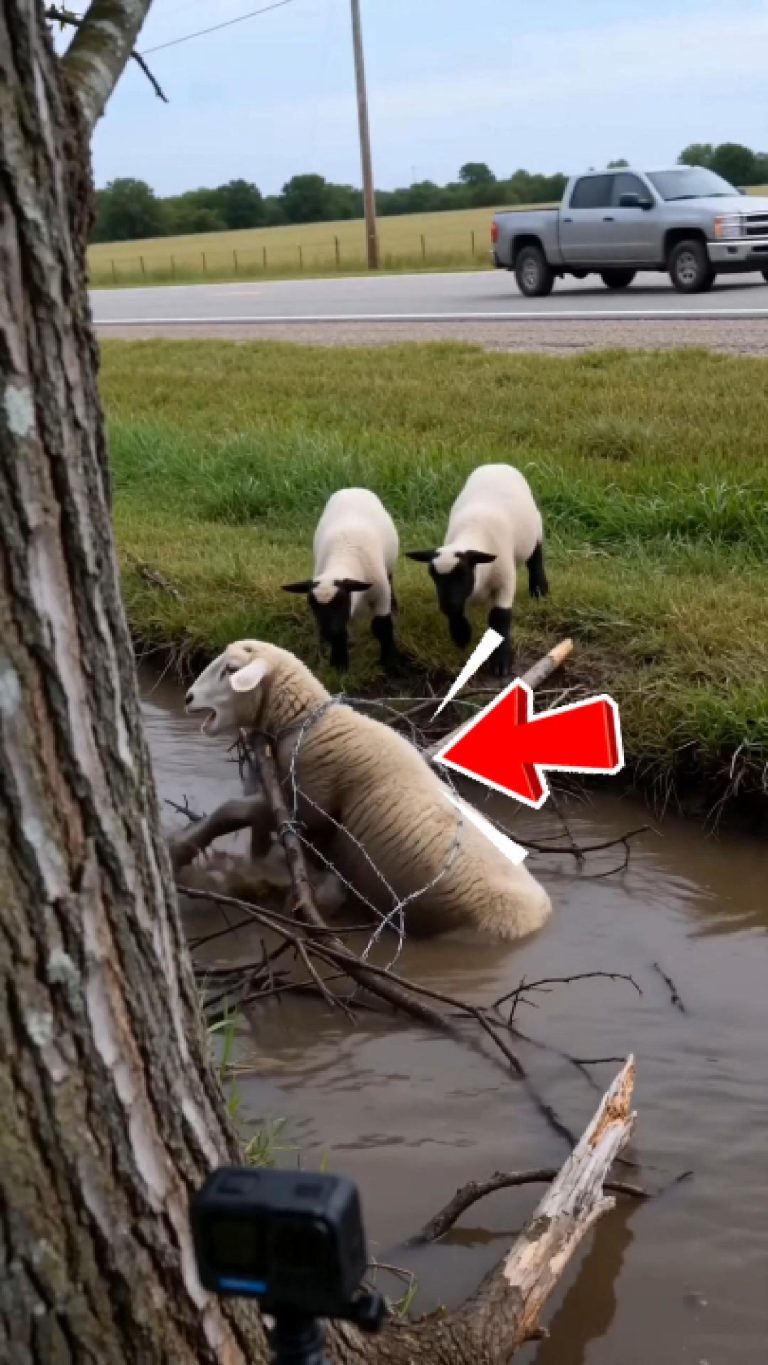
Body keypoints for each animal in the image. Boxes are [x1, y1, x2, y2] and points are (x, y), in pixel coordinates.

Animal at [183, 639, 552, 943]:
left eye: (231, 670)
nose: (188, 698)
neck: (308, 724)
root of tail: (541, 917)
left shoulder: (312, 806)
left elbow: (233, 809)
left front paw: (187, 846)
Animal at [282, 487, 401, 673]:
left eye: (342, 601)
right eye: (312, 605)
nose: (327, 633)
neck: (344, 555)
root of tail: (353, 488)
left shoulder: (380, 595)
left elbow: (381, 627)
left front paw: (389, 663)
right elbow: (342, 631)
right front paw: (339, 664)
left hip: (388, 570)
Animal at [406, 463, 548, 676]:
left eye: (463, 574)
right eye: (433, 575)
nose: (445, 606)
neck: (473, 533)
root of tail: (497, 464)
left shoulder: (505, 582)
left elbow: (500, 619)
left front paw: (500, 662)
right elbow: (458, 612)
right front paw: (461, 636)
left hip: (535, 530)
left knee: (536, 558)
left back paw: (539, 590)